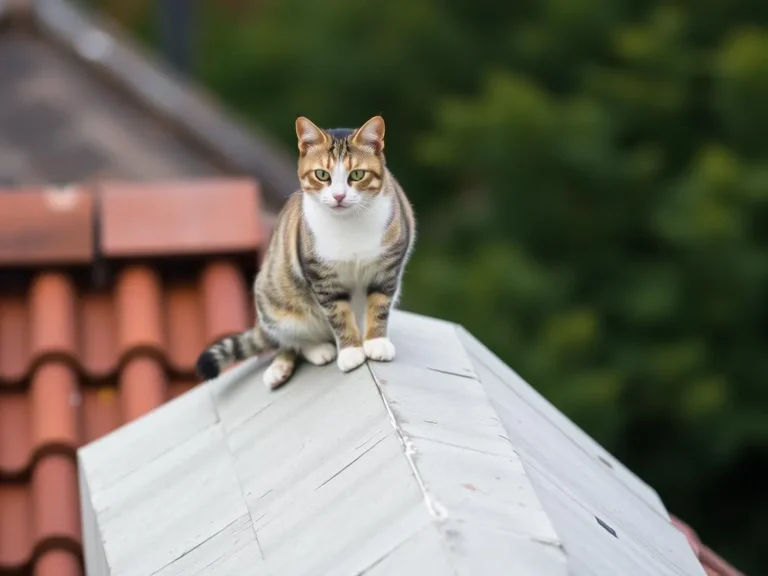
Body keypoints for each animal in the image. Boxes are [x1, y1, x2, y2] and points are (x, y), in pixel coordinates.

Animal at [195, 115, 416, 390]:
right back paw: (296, 360)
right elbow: (339, 315)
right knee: (290, 341)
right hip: (275, 301)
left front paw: (375, 342)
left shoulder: (386, 269)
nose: (339, 196)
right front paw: (351, 351)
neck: (348, 224)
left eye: (357, 174)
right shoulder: (322, 278)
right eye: (322, 175)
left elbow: (379, 306)